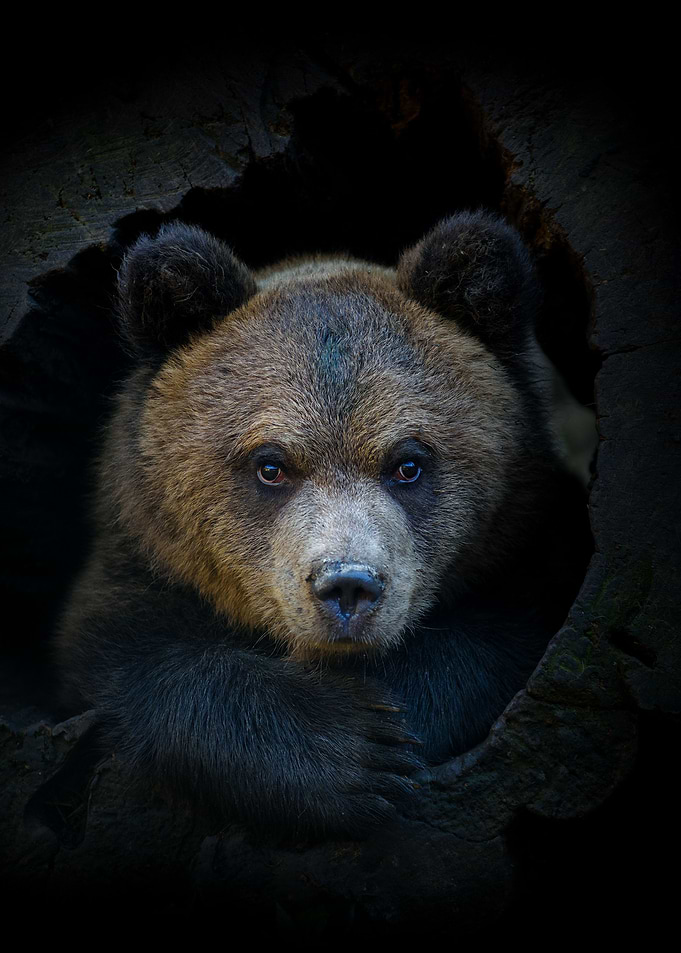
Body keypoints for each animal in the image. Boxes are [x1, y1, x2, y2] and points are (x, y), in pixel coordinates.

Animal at [56, 211, 591, 837]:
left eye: (408, 463)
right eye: (270, 465)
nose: (347, 586)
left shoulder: (533, 546)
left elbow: (502, 636)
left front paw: (399, 718)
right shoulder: (142, 564)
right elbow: (135, 655)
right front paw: (355, 753)